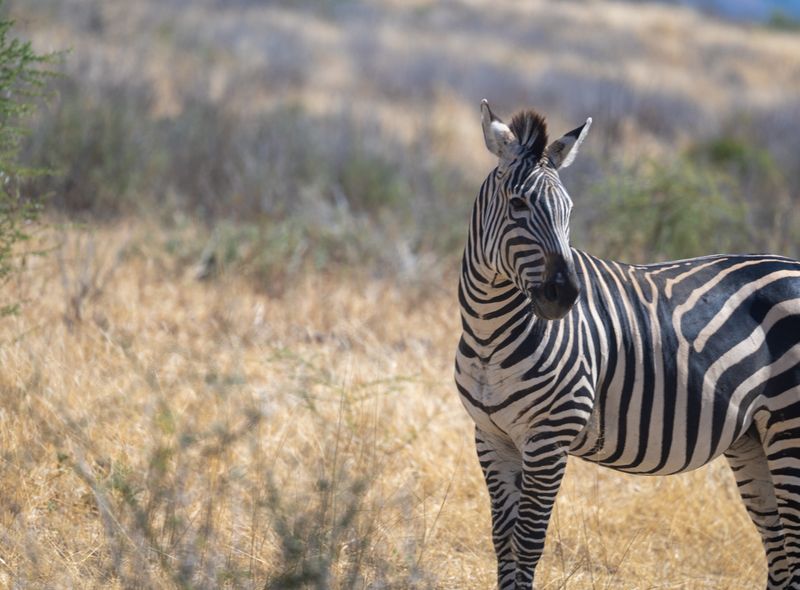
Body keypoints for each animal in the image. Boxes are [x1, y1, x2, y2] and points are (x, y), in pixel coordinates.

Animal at [455, 99, 800, 589]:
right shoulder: (491, 437)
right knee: (783, 557)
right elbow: (503, 543)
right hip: (756, 438)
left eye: (569, 209)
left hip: (791, 427)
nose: (566, 295)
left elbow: (528, 544)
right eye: (518, 204)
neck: (489, 331)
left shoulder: (549, 438)